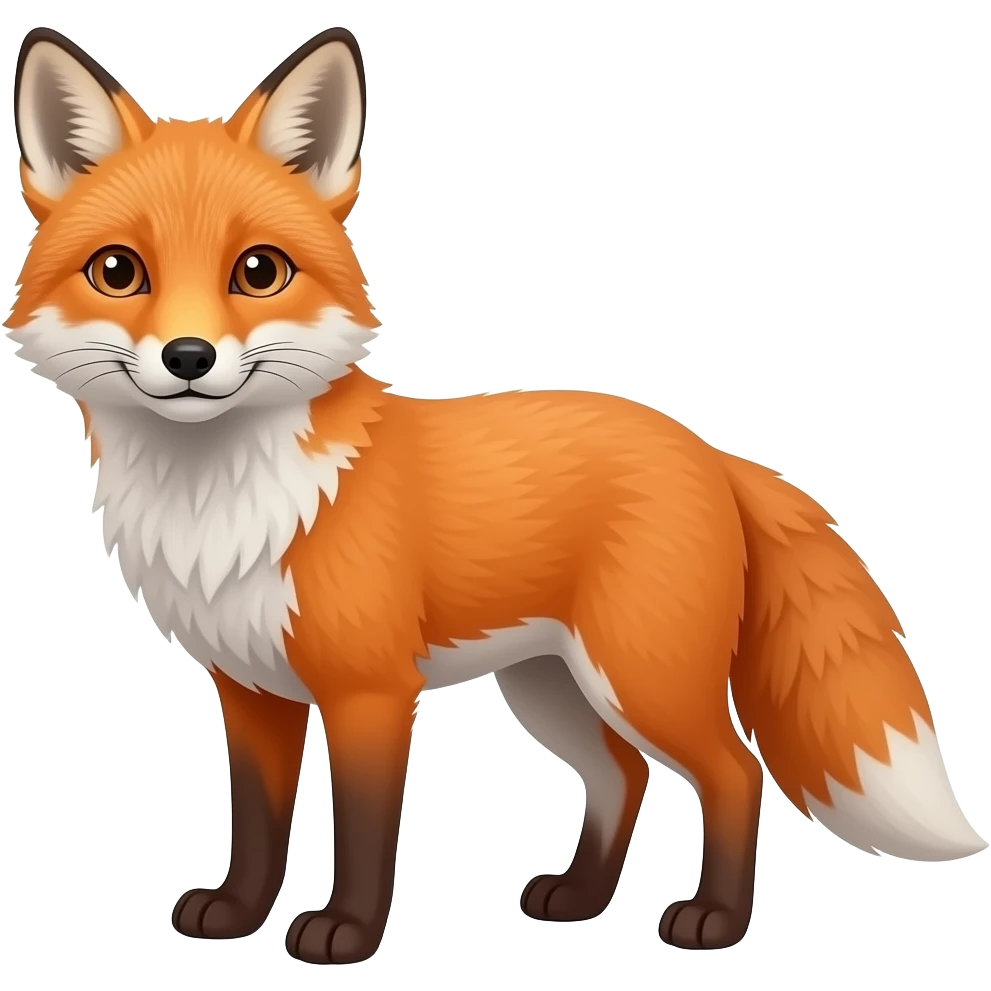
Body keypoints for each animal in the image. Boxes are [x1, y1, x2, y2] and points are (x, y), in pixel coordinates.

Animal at [6, 24, 987, 965]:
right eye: (118, 271)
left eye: (258, 271)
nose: (189, 357)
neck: (222, 501)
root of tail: (707, 449)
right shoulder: (251, 690)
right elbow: (255, 825)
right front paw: (238, 914)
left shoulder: (371, 690)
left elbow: (365, 830)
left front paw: (346, 933)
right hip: (551, 685)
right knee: (623, 775)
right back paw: (580, 899)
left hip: (639, 675)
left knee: (734, 773)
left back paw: (712, 918)